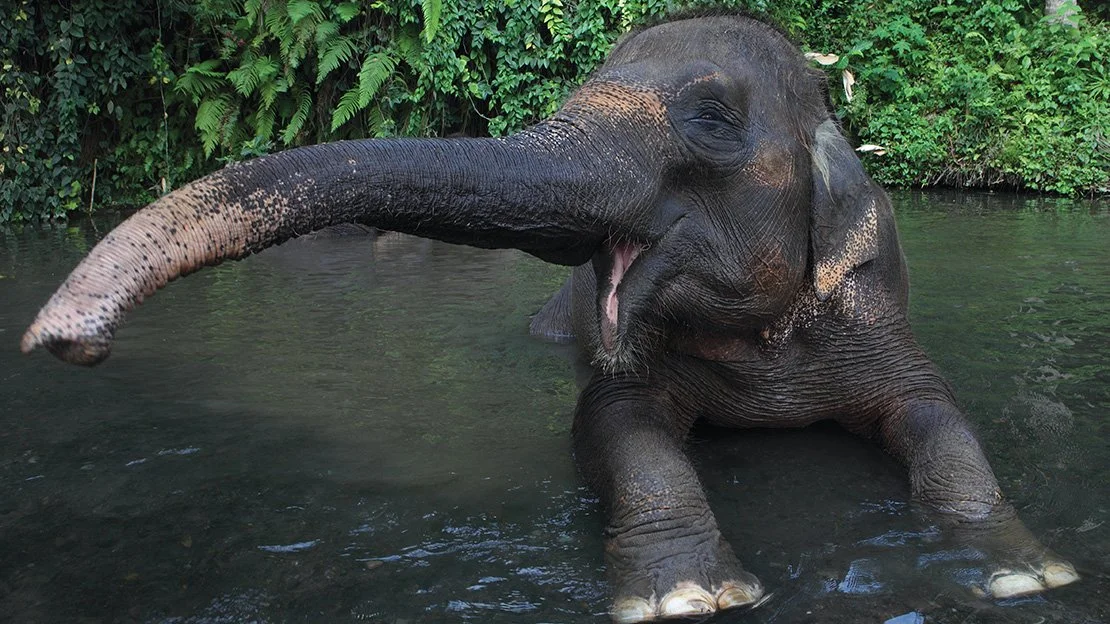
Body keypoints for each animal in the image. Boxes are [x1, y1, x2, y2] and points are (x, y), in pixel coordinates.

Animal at [22, 12, 1078, 623]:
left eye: (710, 117)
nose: (63, 340)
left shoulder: (874, 315)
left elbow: (937, 411)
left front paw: (1022, 576)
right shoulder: (625, 354)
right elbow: (617, 427)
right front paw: (688, 597)